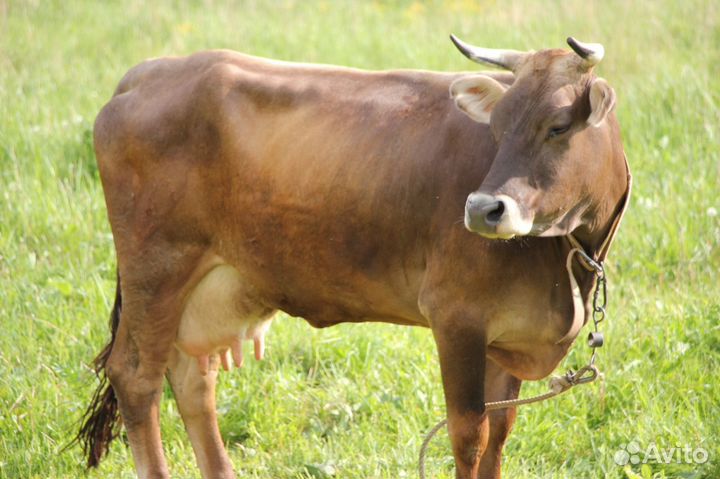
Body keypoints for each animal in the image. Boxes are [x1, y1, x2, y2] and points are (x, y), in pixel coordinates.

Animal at [75, 35, 631, 479]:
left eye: (558, 126)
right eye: (496, 128)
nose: (482, 209)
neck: (566, 260)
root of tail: (150, 72)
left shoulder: (507, 335)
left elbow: (498, 433)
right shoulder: (457, 319)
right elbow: (468, 436)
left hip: (208, 286)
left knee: (193, 379)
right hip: (156, 270)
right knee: (138, 379)